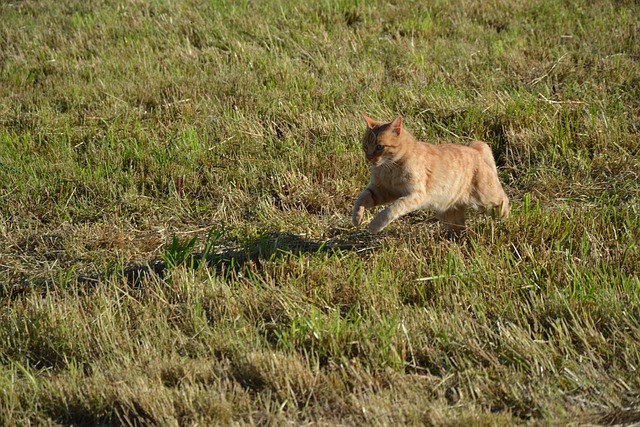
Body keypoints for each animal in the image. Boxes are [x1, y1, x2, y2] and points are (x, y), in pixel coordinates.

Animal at [350, 113, 510, 234]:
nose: (369, 158)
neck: (389, 169)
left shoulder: (414, 195)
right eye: (365, 146)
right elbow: (361, 199)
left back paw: (506, 225)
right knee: (459, 228)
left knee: (505, 203)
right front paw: (357, 218)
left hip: (489, 200)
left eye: (379, 147)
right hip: (449, 213)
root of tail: (474, 149)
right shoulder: (380, 190)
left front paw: (374, 225)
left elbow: (390, 210)